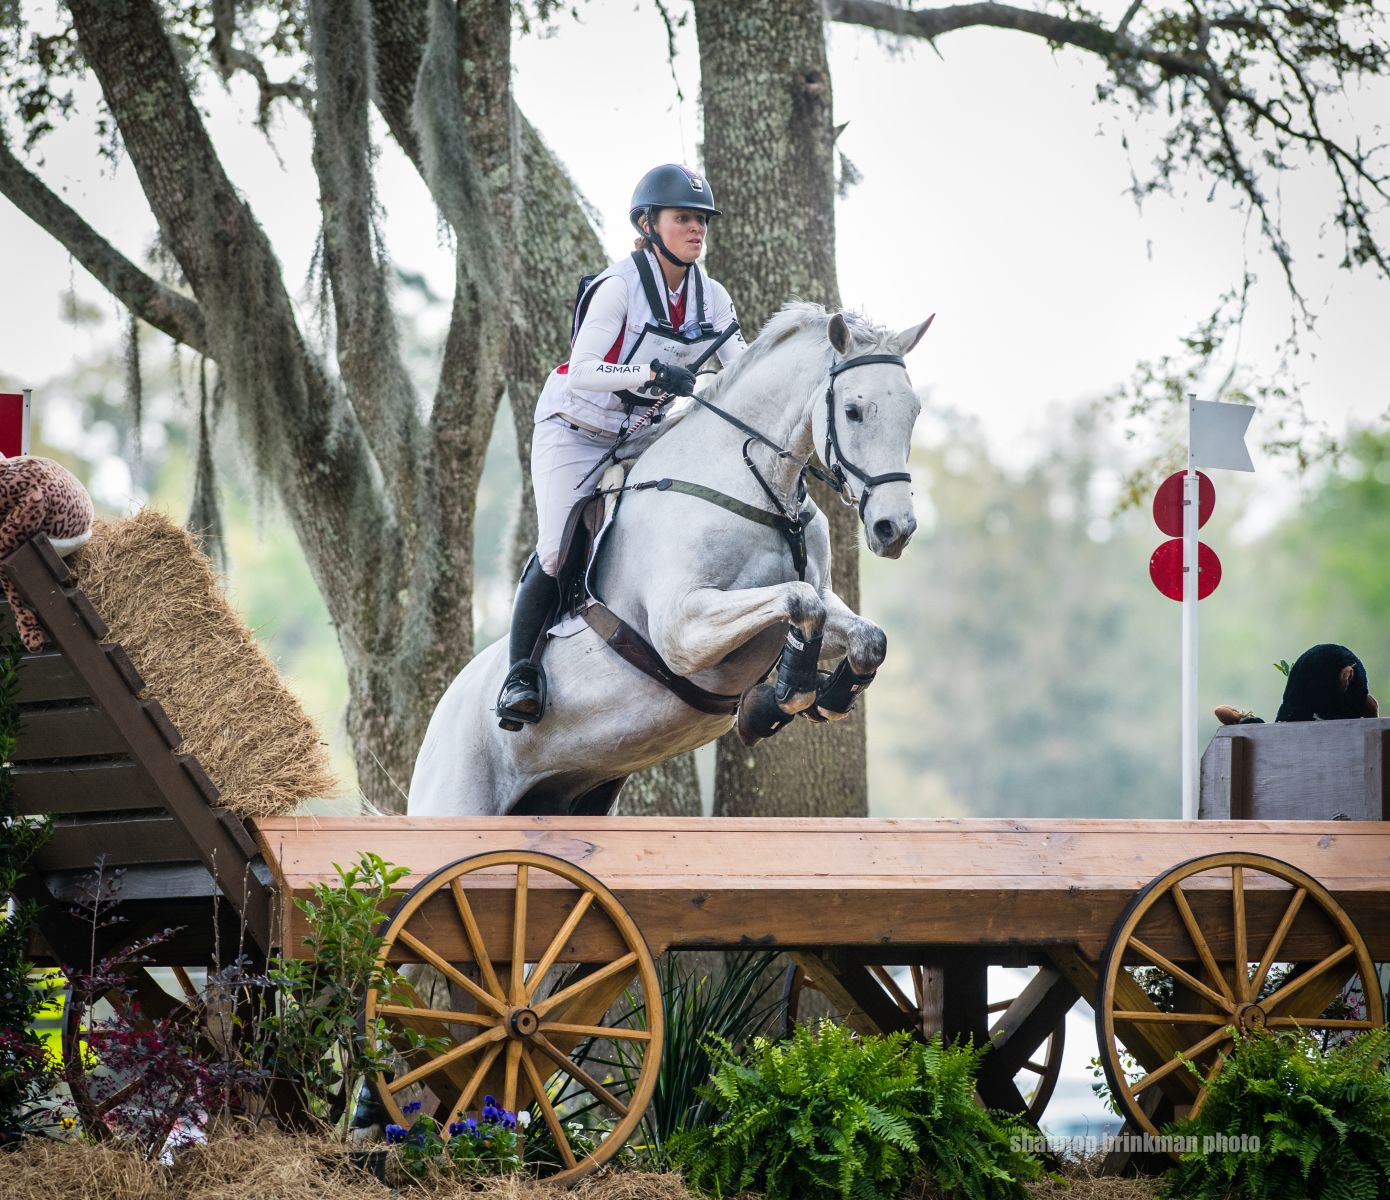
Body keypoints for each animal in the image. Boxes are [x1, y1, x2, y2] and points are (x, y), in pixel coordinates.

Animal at [411, 300, 934, 817]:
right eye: (853, 411)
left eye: (914, 412)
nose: (894, 529)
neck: (756, 489)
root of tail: (436, 723)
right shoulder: (681, 629)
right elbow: (800, 601)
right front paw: (788, 693)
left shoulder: (817, 599)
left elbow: (866, 635)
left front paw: (808, 700)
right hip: (456, 800)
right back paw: (519, 693)